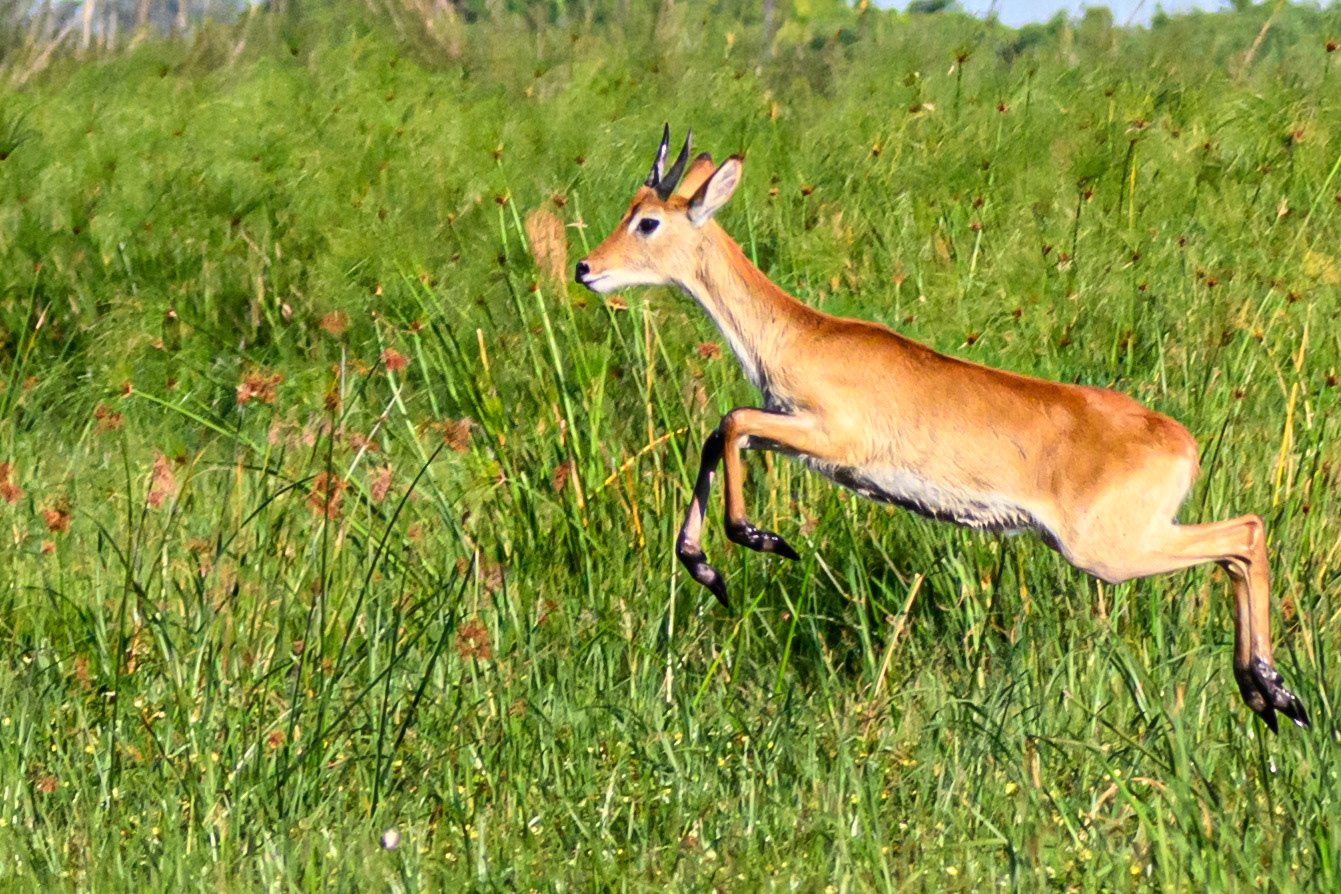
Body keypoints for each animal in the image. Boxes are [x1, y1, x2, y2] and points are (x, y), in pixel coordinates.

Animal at [574, 126, 1309, 733]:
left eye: (646, 220)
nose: (585, 267)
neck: (799, 335)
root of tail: (1182, 440)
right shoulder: (786, 429)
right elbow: (717, 434)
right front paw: (706, 567)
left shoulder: (833, 440)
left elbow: (727, 423)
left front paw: (761, 540)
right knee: (1240, 544)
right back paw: (1269, 696)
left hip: (1106, 550)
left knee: (1245, 534)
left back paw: (1274, 692)